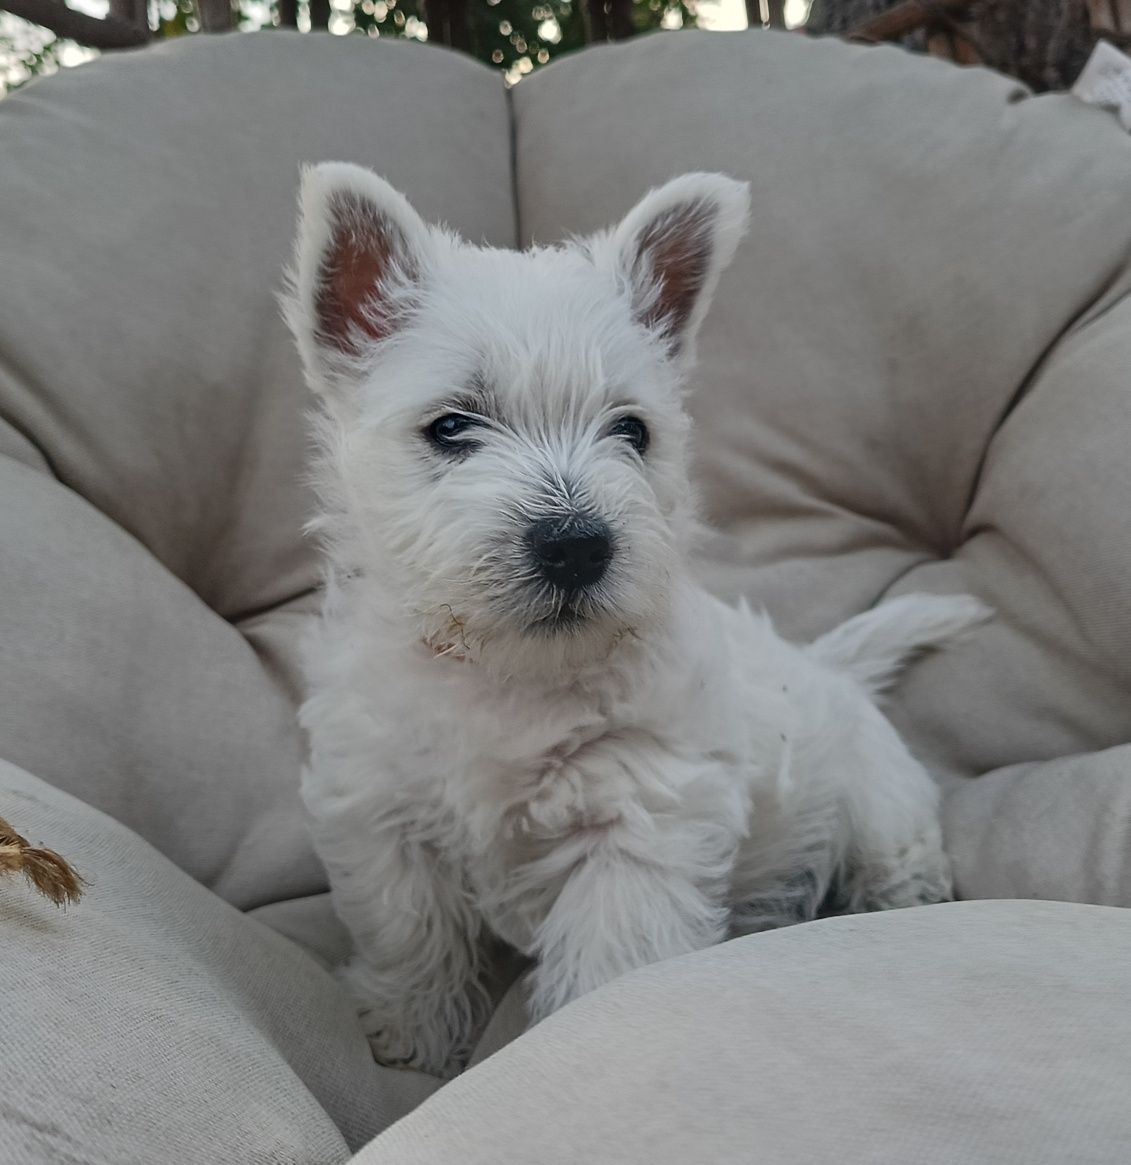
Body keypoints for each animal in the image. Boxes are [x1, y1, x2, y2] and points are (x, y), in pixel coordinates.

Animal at [285, 161, 992, 1071]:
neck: (504, 676)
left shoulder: (639, 823)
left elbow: (606, 961)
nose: (577, 544)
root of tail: (829, 669)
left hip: (879, 804)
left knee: (897, 854)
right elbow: (409, 927)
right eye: (450, 425)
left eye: (632, 429)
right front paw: (408, 1026)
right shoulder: (380, 805)